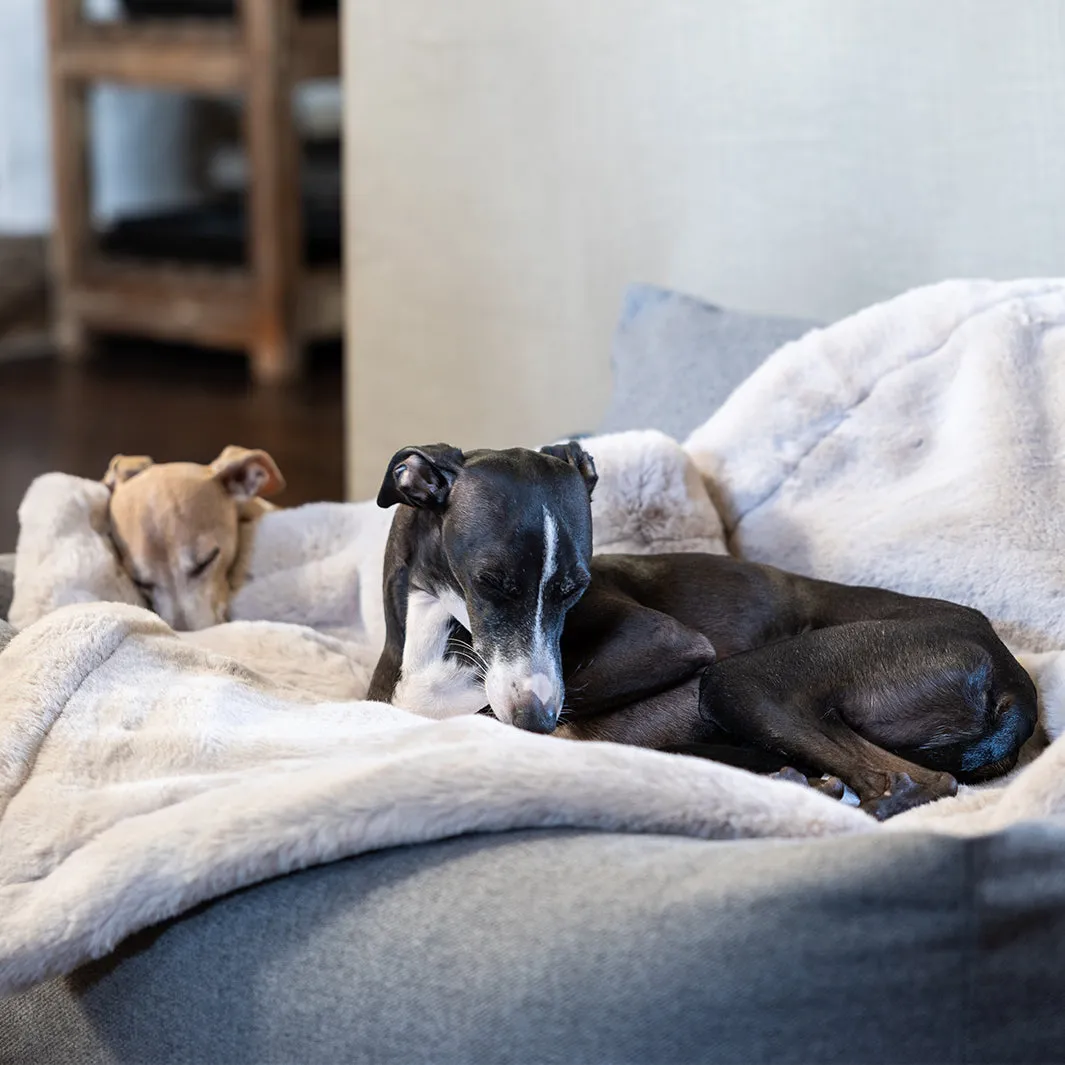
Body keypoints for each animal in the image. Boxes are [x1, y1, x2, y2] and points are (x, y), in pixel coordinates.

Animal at [368, 438, 1039, 813]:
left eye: (576, 588)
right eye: (490, 583)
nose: (535, 719)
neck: (436, 645)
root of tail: (1013, 675)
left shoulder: (671, 642)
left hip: (741, 682)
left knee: (909, 782)